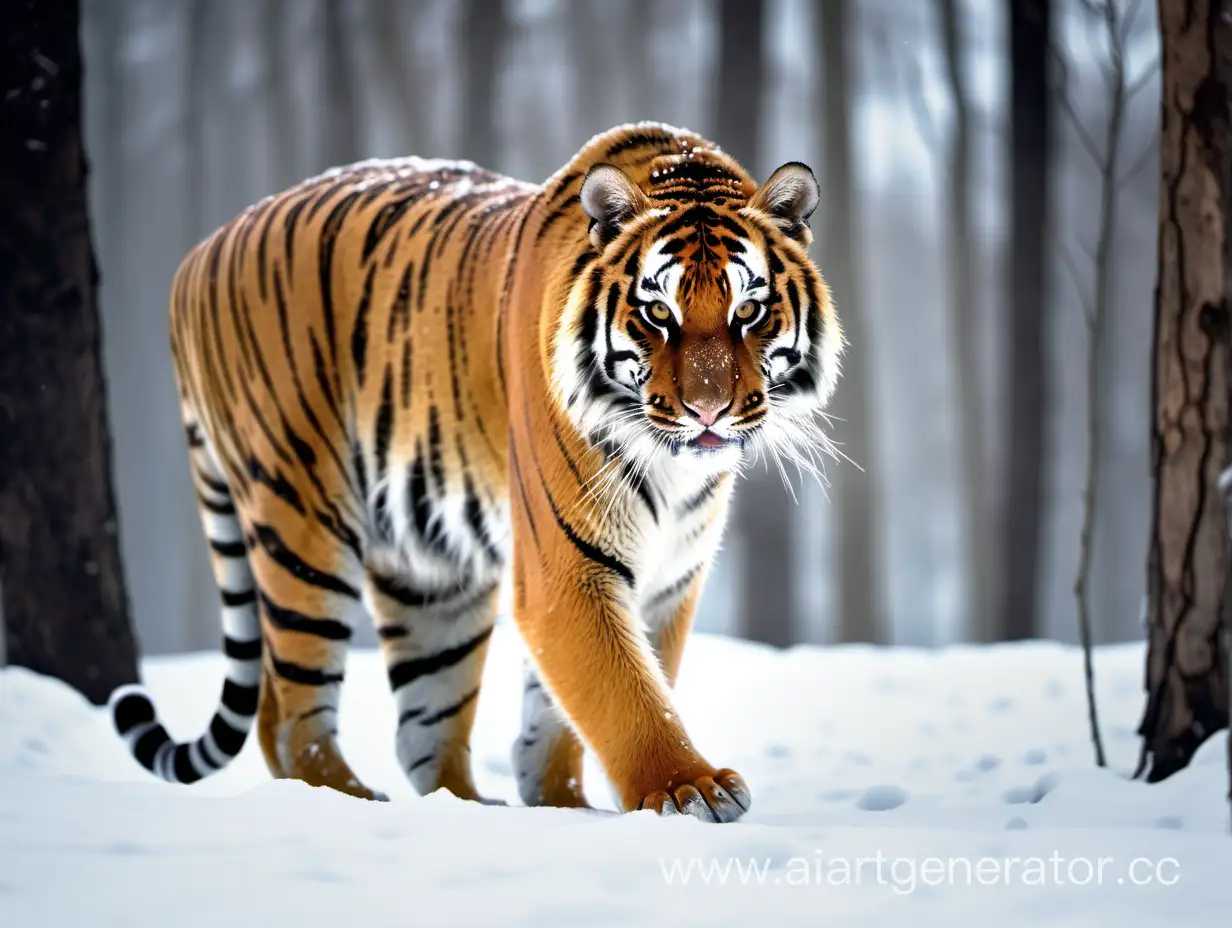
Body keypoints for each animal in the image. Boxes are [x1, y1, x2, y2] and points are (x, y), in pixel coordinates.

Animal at [105, 119, 842, 823]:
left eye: (749, 310)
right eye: (658, 311)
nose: (707, 410)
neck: (672, 468)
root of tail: (196, 256)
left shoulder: (669, 577)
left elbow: (571, 712)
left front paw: (564, 806)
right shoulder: (565, 567)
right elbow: (627, 693)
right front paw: (689, 790)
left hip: (430, 576)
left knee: (420, 730)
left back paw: (465, 809)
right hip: (300, 523)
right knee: (290, 718)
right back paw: (354, 802)